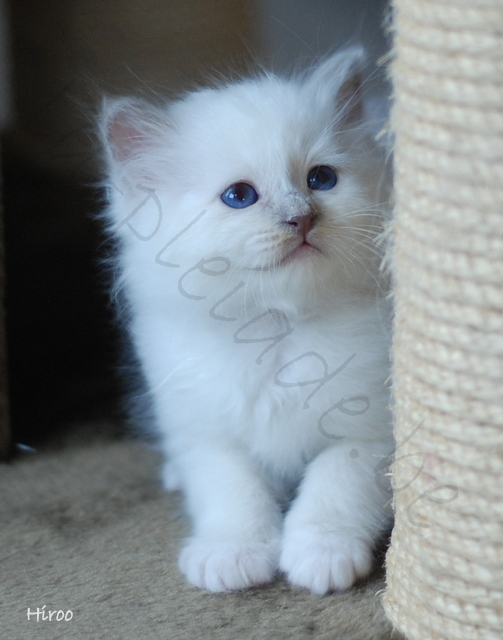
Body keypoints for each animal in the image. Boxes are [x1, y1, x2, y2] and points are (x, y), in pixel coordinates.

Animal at [100, 48, 396, 596]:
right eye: (239, 196)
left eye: (321, 179)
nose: (301, 217)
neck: (275, 327)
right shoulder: (208, 432)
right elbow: (232, 493)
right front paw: (231, 555)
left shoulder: (369, 433)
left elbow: (334, 487)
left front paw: (321, 555)